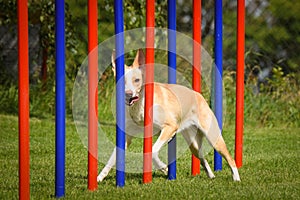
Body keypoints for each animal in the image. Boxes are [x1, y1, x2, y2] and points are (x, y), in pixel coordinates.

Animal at [97, 49, 240, 181]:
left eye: (137, 80)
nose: (128, 94)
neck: (140, 105)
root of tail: (199, 95)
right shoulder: (128, 136)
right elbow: (112, 158)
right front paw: (99, 177)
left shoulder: (169, 127)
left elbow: (153, 151)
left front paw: (164, 168)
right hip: (193, 143)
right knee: (202, 158)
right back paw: (211, 176)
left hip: (213, 138)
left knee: (230, 158)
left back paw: (236, 179)